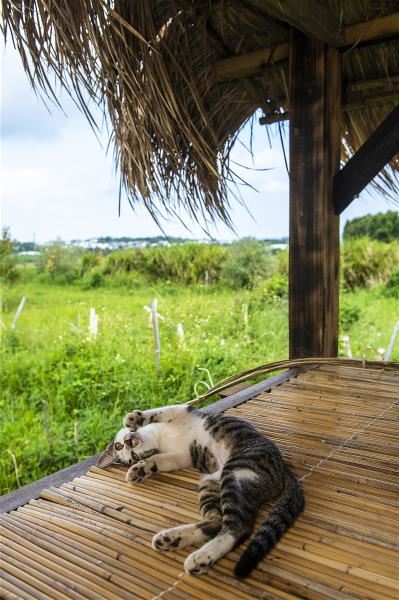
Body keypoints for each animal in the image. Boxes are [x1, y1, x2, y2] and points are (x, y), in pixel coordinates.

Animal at [98, 404, 304, 576]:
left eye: (120, 446)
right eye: (132, 455)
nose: (129, 441)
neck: (159, 439)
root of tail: (284, 469)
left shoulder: (181, 411)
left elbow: (159, 412)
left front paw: (134, 418)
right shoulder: (179, 457)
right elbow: (157, 460)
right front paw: (139, 470)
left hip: (234, 472)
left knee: (237, 526)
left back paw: (197, 555)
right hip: (214, 482)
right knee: (224, 524)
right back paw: (178, 544)